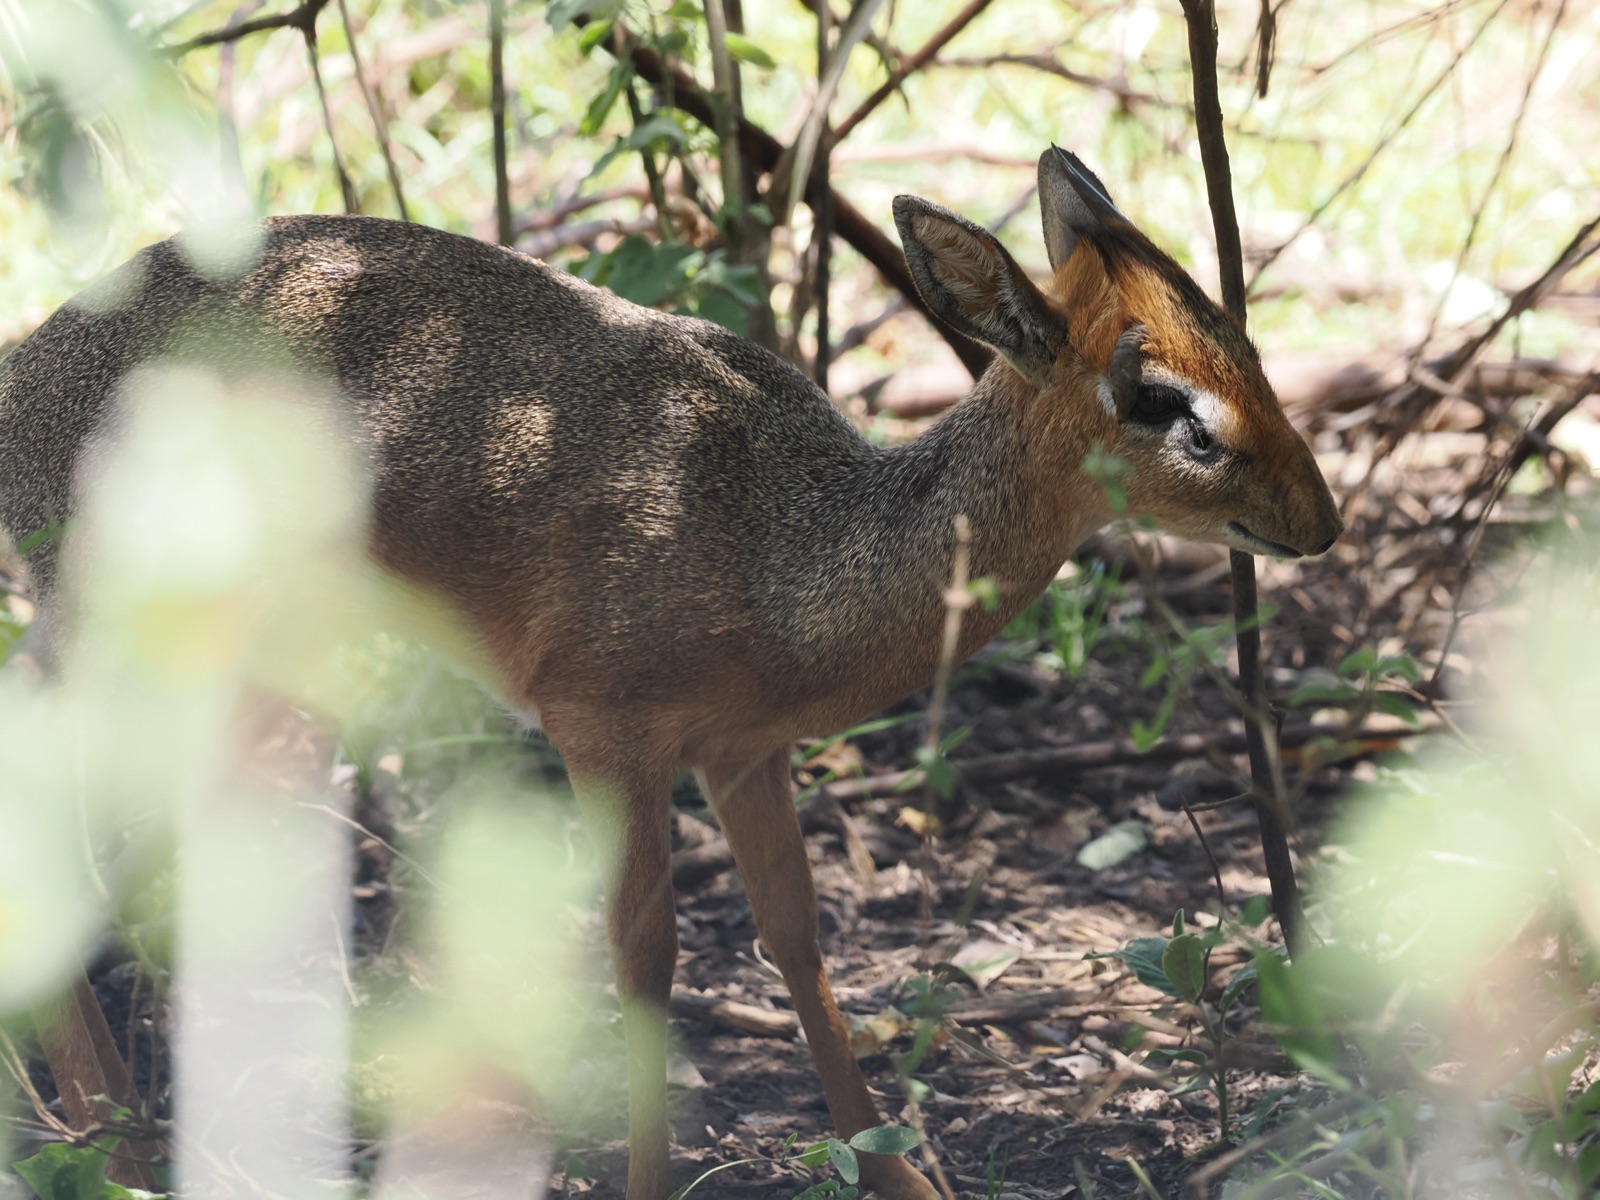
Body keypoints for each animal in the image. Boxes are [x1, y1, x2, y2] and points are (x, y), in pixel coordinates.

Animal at [0, 147, 1341, 1199]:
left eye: (1240, 332)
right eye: (1156, 394)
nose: (1319, 520)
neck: (786, 550)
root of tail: (24, 381)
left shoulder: (745, 751)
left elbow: (795, 936)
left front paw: (904, 1176)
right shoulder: (604, 733)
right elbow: (644, 956)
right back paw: (116, 1148)